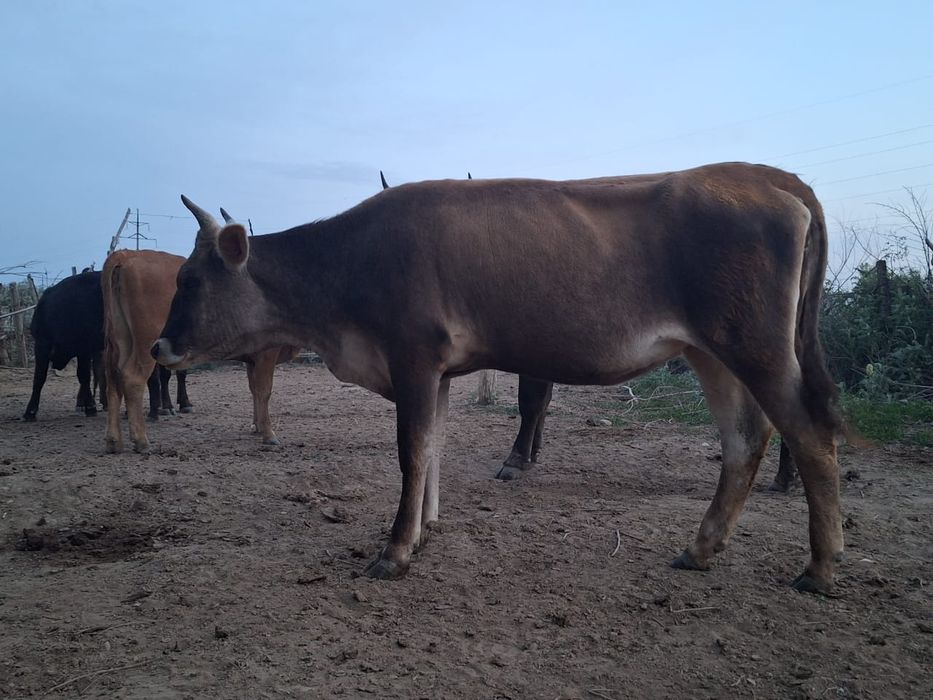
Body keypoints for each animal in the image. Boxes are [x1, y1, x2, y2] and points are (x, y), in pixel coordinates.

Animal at [153, 163, 847, 593]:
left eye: (189, 280)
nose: (160, 345)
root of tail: (767, 181)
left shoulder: (413, 356)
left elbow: (411, 452)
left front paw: (395, 550)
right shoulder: (438, 370)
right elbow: (433, 446)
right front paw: (426, 530)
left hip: (756, 347)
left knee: (812, 437)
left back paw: (821, 568)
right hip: (711, 352)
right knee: (744, 440)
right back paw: (701, 549)